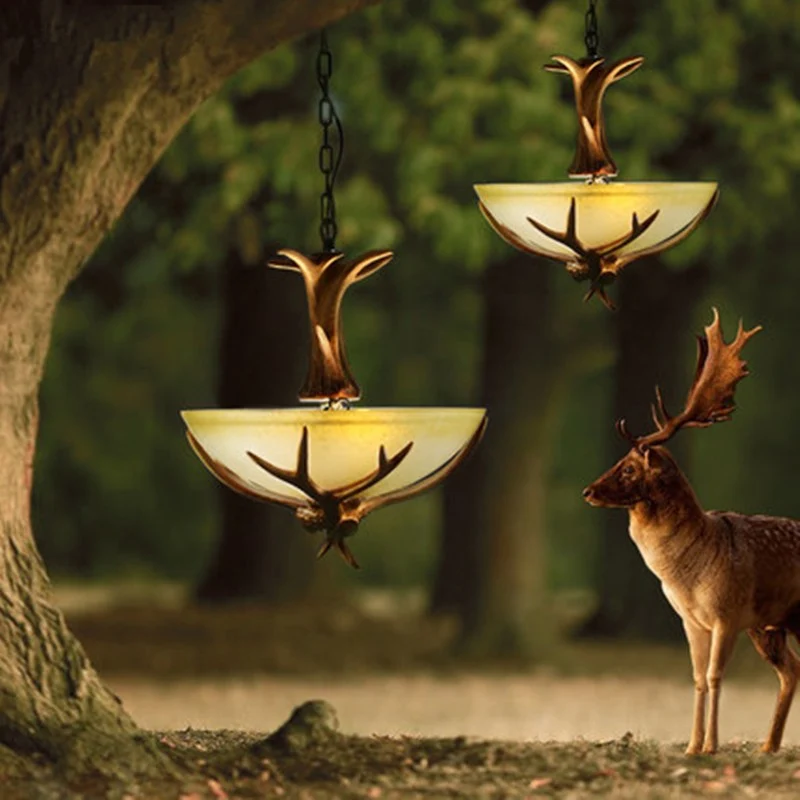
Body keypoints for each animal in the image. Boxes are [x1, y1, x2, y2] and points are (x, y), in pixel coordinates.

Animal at [582, 308, 800, 755]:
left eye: (629, 468)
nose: (588, 491)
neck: (688, 574)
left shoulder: (727, 614)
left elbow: (715, 676)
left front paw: (712, 746)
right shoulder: (691, 621)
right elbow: (698, 679)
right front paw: (693, 746)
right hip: (771, 625)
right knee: (792, 670)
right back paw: (768, 746)